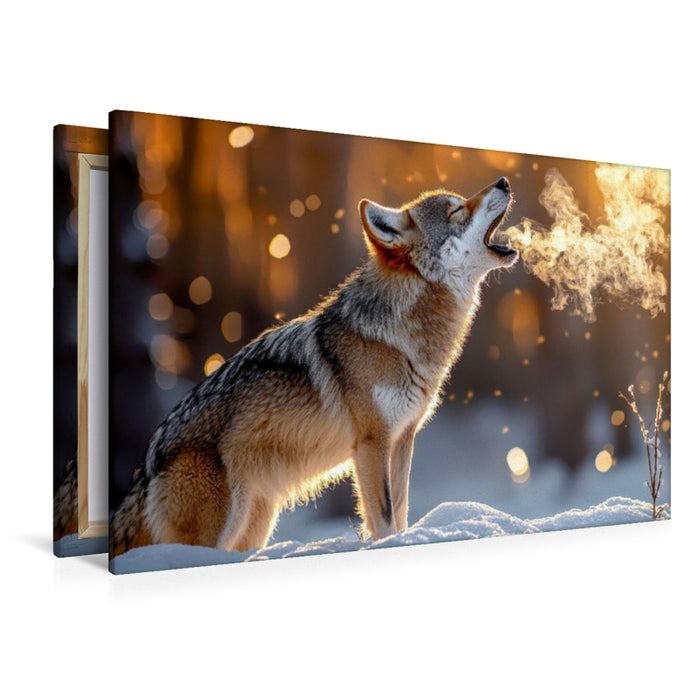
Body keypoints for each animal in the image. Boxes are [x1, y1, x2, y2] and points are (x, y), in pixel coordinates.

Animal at [110, 177, 518, 557]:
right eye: (456, 210)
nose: (503, 182)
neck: (399, 337)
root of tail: (145, 469)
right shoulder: (371, 443)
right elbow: (384, 518)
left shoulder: (403, 438)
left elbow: (400, 512)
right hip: (220, 527)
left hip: (254, 526)